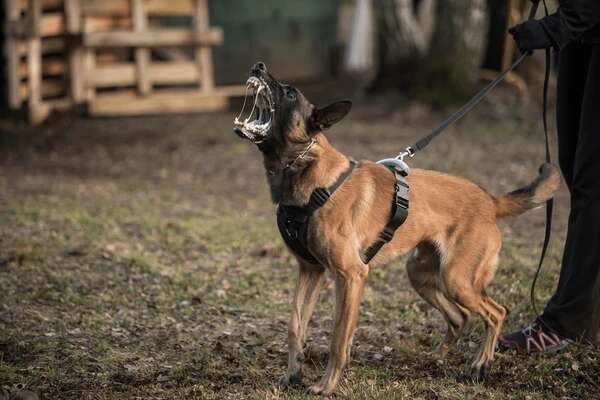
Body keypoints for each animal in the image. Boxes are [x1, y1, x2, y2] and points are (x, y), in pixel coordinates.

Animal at [233, 61, 556, 394]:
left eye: (289, 92)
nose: (258, 66)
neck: (307, 170)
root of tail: (490, 200)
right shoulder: (310, 270)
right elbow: (295, 327)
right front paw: (292, 375)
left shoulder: (351, 276)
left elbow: (338, 339)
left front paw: (326, 386)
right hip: (421, 273)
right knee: (460, 317)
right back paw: (438, 358)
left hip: (457, 279)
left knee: (496, 312)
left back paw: (480, 363)